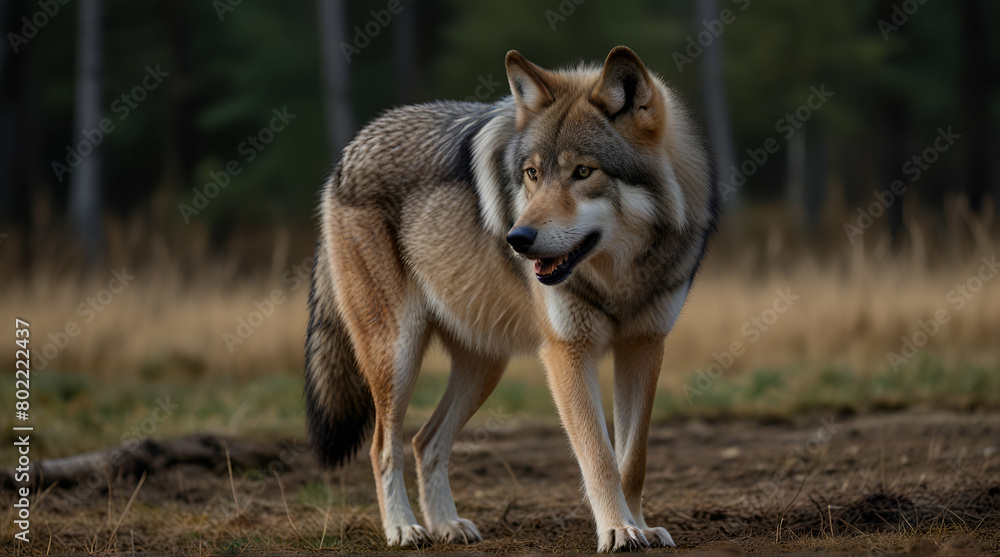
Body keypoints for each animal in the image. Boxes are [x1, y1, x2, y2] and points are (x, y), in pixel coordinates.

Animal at [305, 46, 719, 552]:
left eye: (583, 172)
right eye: (532, 174)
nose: (517, 239)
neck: (619, 278)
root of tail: (350, 150)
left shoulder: (643, 347)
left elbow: (632, 461)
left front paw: (640, 525)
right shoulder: (567, 354)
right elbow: (599, 457)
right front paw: (619, 531)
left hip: (484, 365)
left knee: (425, 440)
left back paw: (447, 525)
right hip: (396, 356)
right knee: (383, 445)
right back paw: (403, 528)